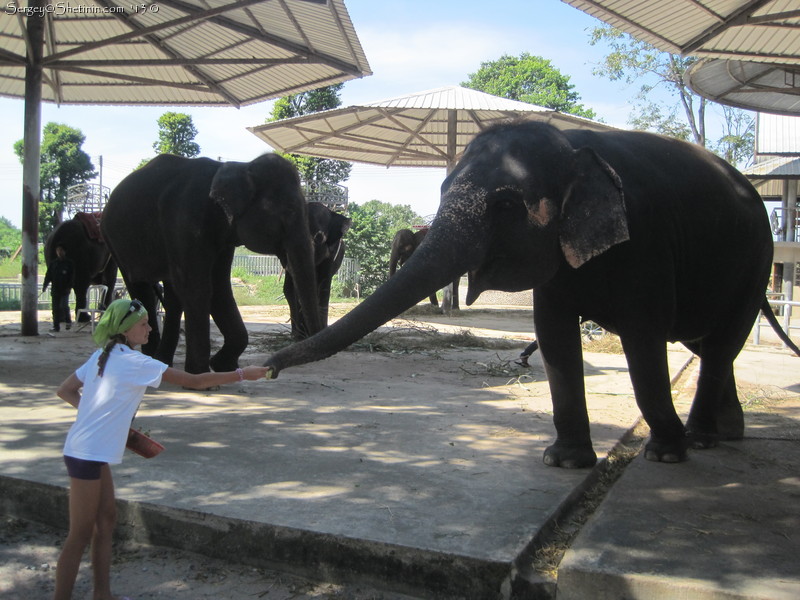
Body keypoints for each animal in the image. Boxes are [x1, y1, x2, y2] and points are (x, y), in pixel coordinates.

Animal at [101, 152, 320, 372]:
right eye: (290, 211)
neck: (238, 167)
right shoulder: (185, 220)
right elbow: (198, 288)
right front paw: (200, 374)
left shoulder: (224, 238)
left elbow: (219, 288)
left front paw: (222, 365)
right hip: (115, 241)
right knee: (141, 289)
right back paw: (151, 361)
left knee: (173, 297)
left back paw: (163, 361)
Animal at [286, 202, 352, 340]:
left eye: (319, 237)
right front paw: (302, 336)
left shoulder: (332, 252)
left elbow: (324, 284)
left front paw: (319, 332)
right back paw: (295, 335)